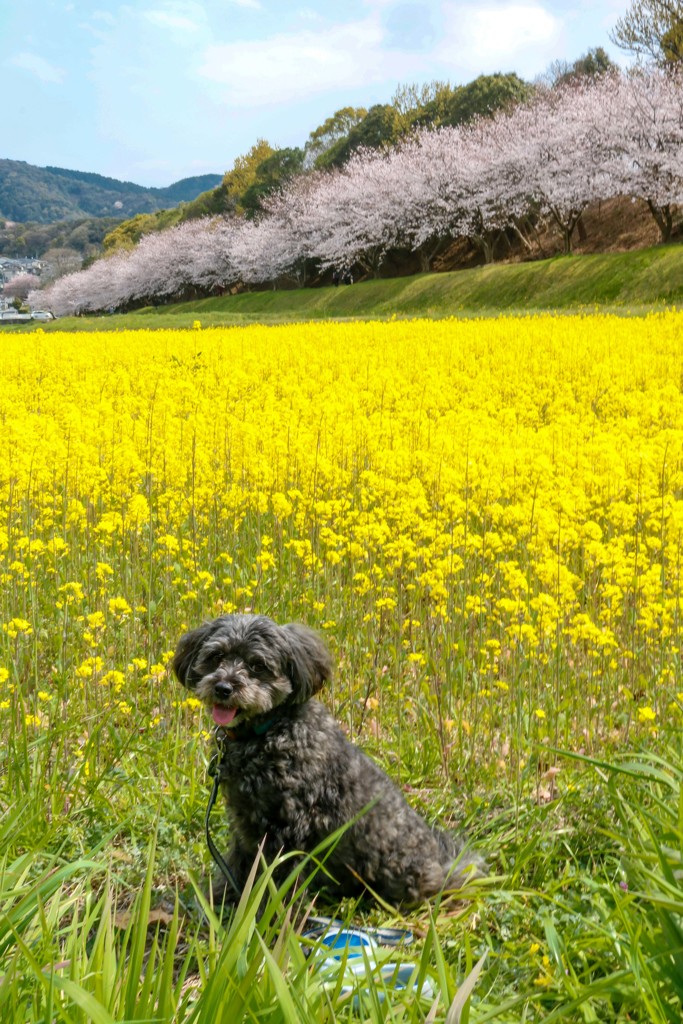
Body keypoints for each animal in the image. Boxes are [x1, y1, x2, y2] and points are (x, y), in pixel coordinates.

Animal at [172, 610, 481, 909]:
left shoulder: (288, 829)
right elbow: (237, 864)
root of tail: (443, 866)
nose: (223, 687)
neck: (267, 731)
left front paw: (271, 916)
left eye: (257, 666)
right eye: (216, 657)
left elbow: (279, 879)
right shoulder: (245, 821)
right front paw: (220, 900)